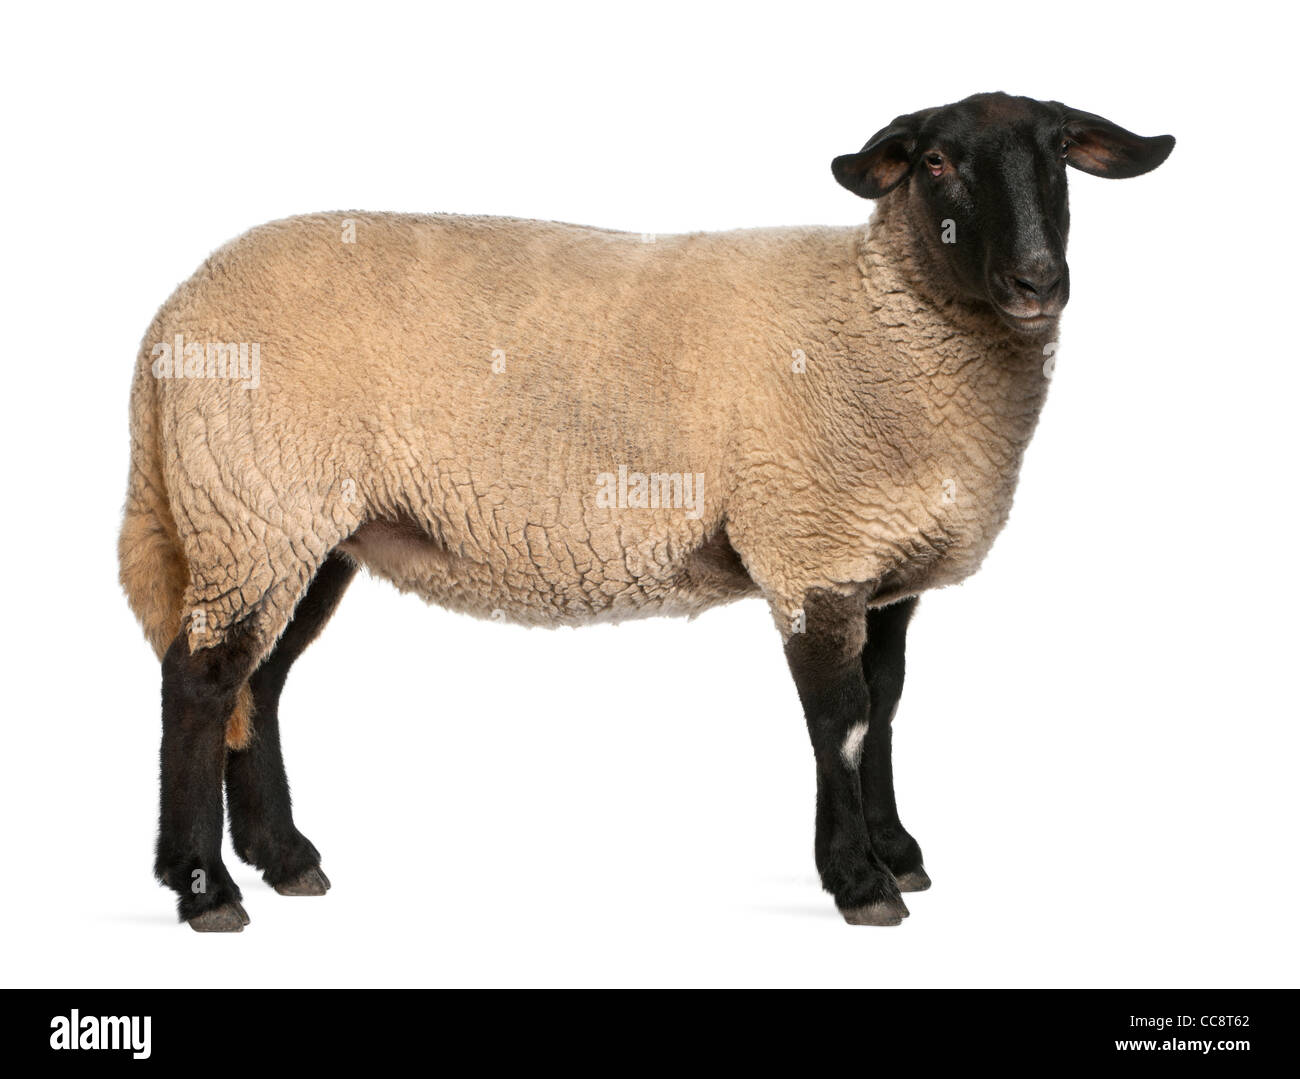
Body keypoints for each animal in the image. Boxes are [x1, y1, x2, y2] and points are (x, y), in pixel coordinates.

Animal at [122, 92, 1175, 935]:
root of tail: (169, 322)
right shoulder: (811, 546)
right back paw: (206, 886)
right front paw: (860, 880)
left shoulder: (879, 567)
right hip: (252, 504)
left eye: (1059, 154)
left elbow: (886, 706)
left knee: (260, 684)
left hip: (296, 525)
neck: (882, 320)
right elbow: (839, 720)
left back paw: (286, 859)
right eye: (935, 164)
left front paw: (897, 849)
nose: (1037, 281)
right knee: (201, 682)